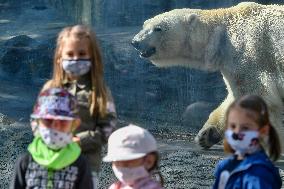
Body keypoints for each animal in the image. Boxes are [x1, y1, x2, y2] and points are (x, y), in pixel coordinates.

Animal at [132, 2, 284, 148]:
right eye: (145, 24)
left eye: (158, 28)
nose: (135, 42)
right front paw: (207, 135)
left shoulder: (249, 55)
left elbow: (256, 97)